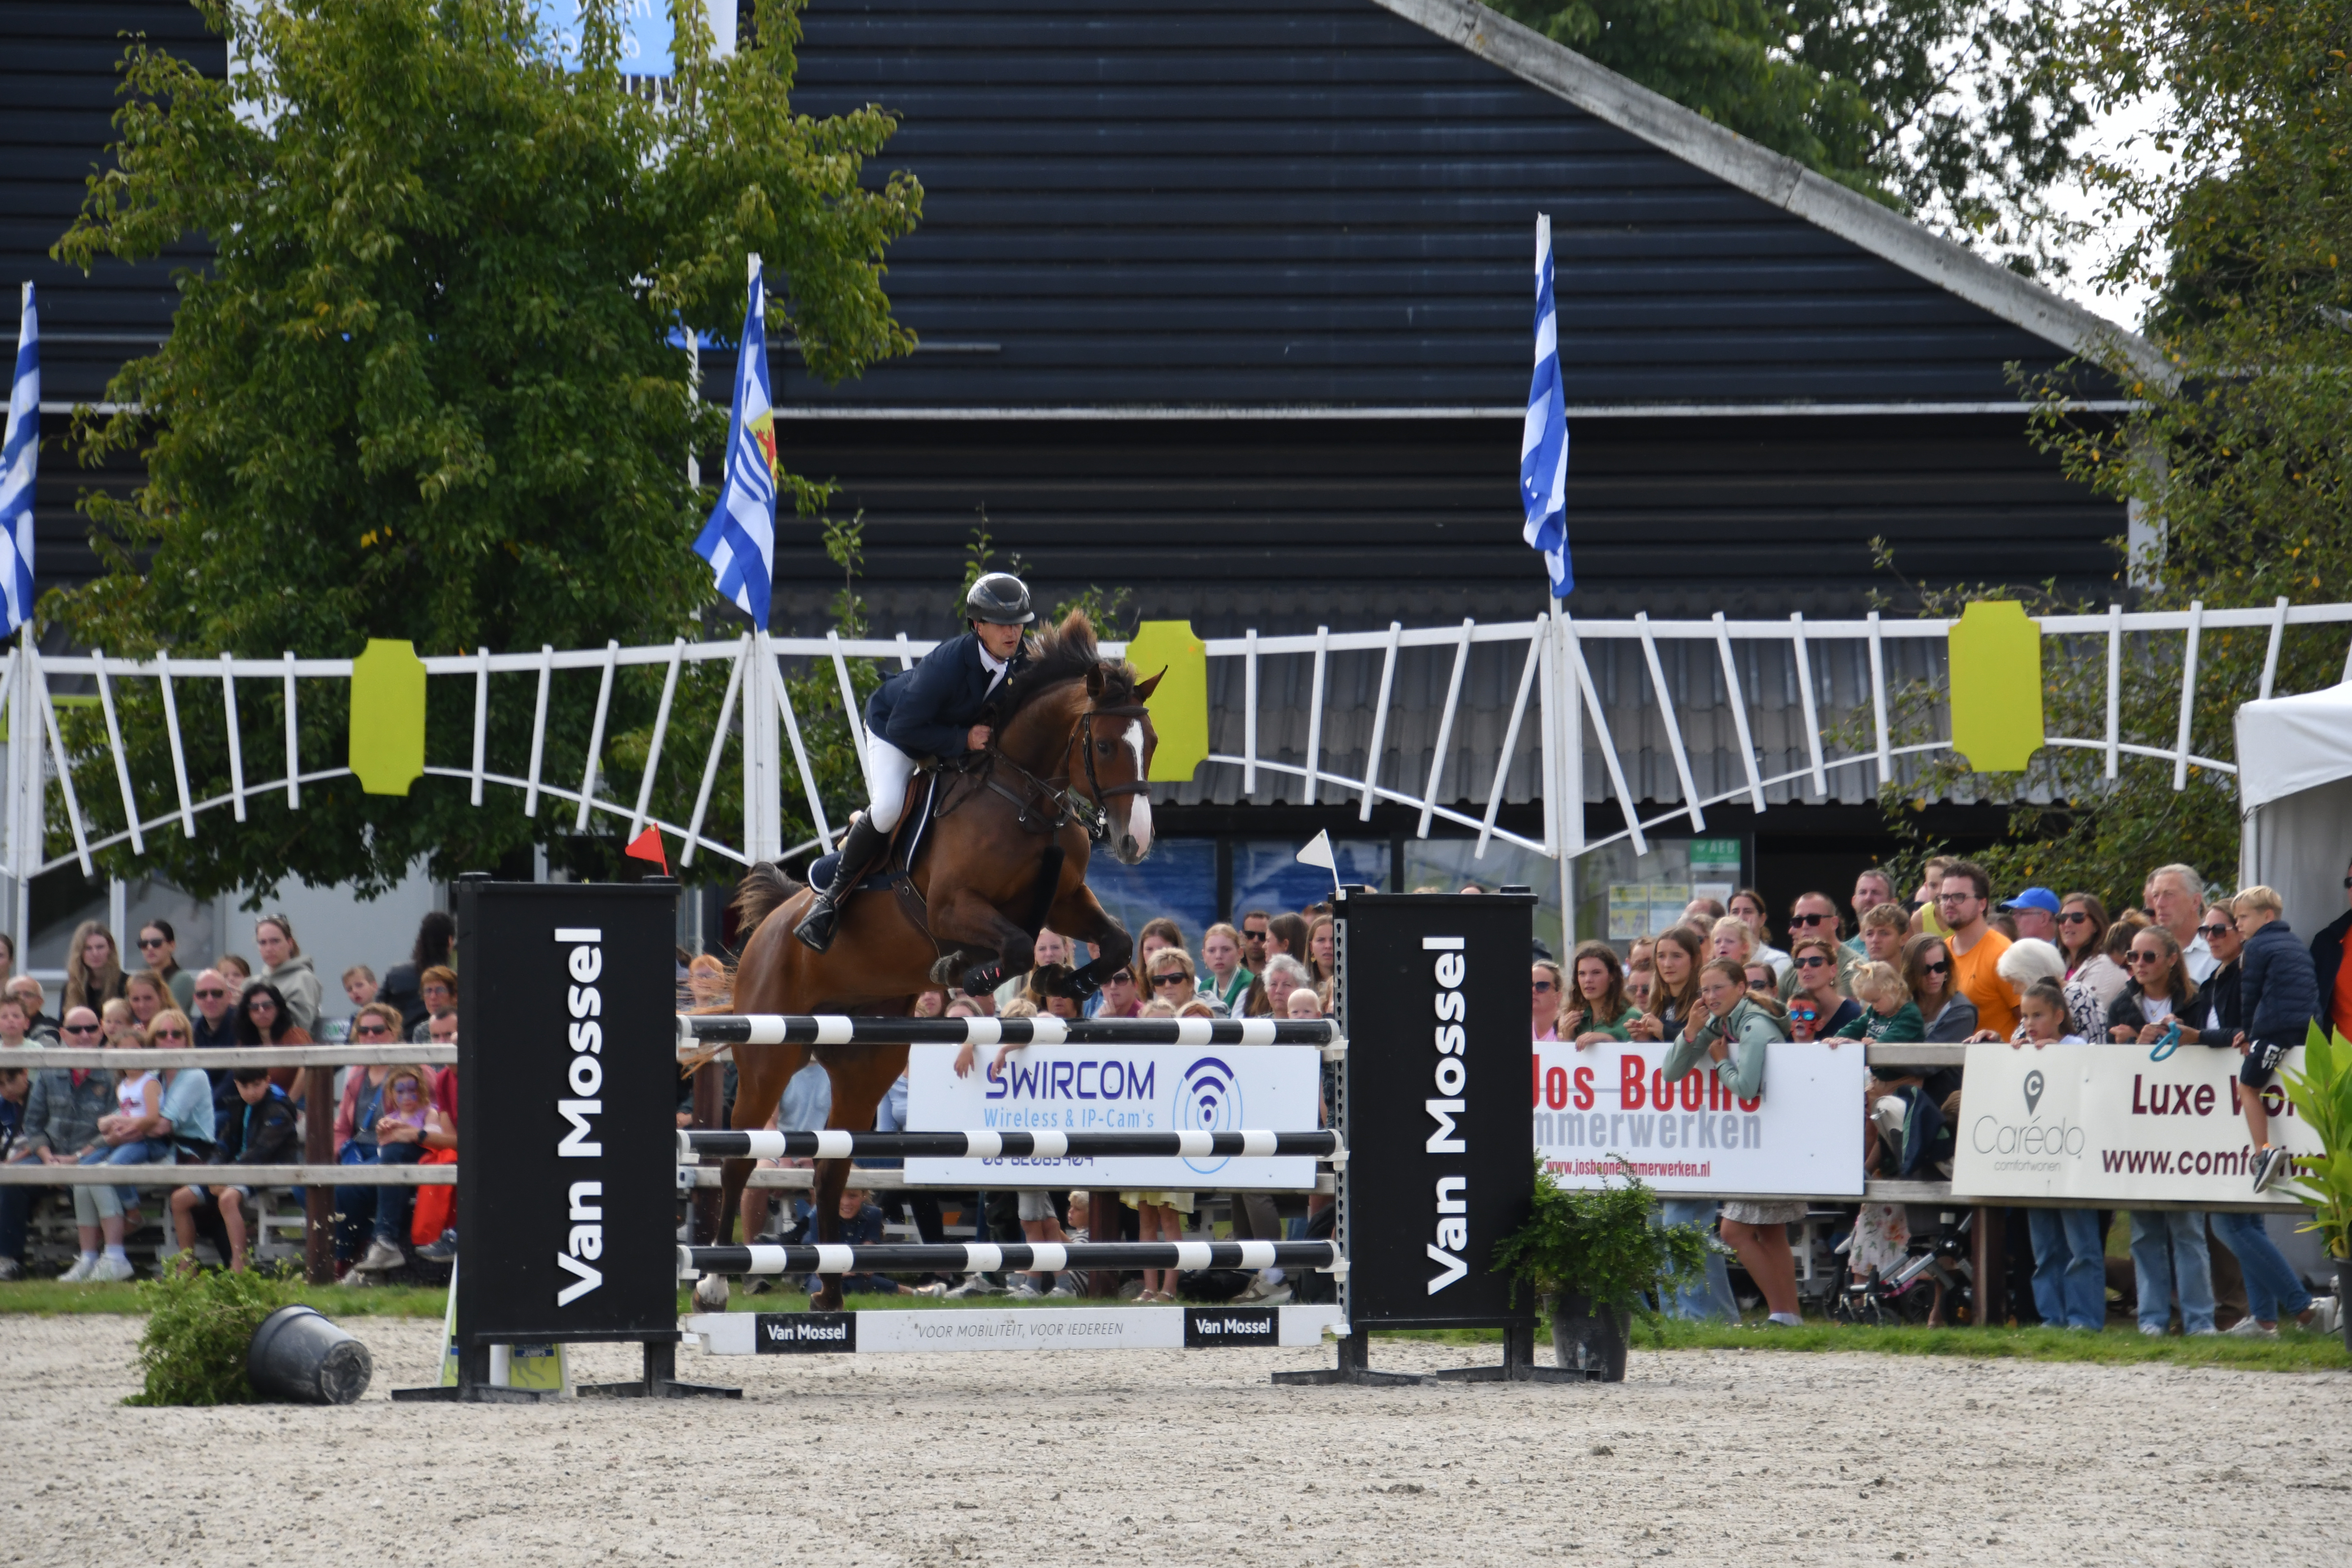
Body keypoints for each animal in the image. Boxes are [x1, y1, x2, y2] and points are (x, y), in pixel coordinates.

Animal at [693, 612, 1161, 1311]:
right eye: (1105, 746)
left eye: (1150, 741)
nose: (1136, 843)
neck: (1024, 797)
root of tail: (770, 927)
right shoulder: (949, 909)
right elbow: (1011, 945)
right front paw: (967, 971)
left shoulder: (1066, 901)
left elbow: (1115, 946)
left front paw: (1064, 980)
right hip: (770, 1055)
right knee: (741, 1155)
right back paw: (715, 1284)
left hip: (867, 1066)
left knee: (831, 1165)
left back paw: (830, 1297)